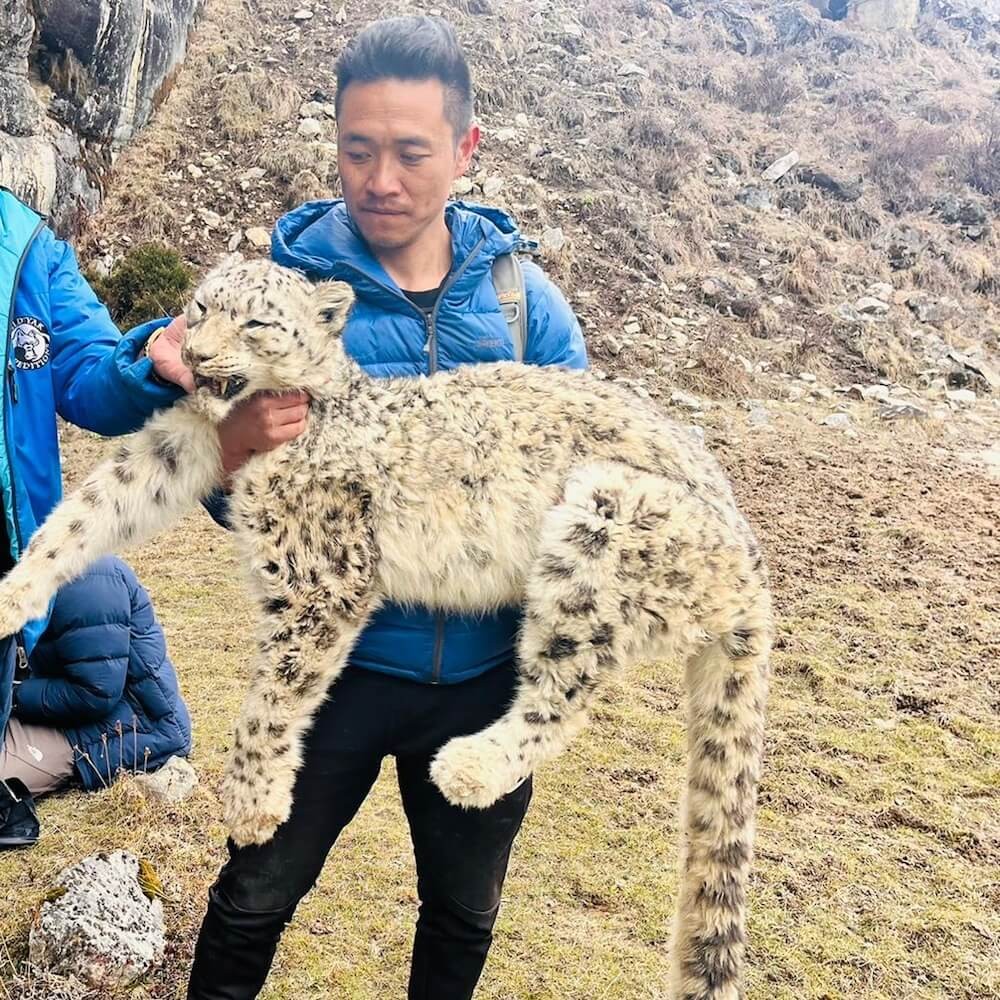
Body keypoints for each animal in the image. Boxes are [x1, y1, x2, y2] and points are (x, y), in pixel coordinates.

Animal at [0, 258, 772, 1000]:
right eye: (200, 307)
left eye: (255, 321)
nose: (193, 352)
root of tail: (750, 558)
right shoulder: (173, 445)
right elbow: (90, 509)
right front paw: (13, 592)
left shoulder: (321, 578)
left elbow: (272, 701)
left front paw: (252, 801)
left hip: (607, 524)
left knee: (566, 689)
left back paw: (471, 765)